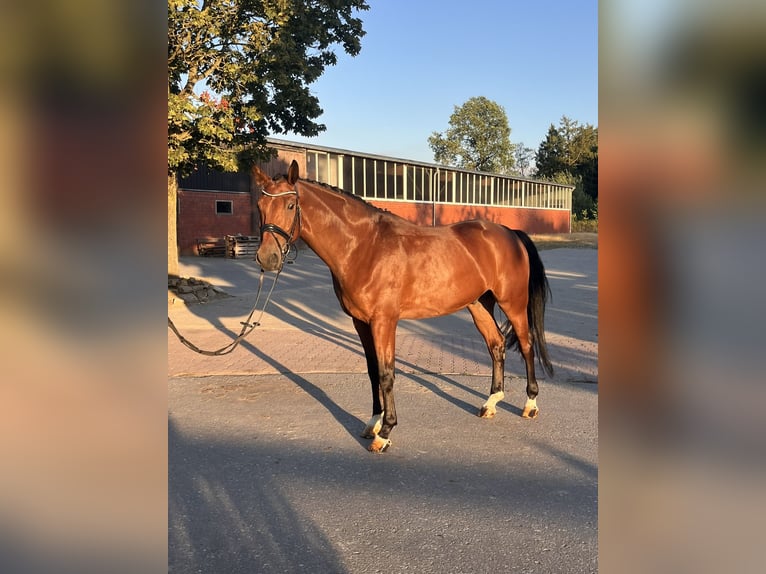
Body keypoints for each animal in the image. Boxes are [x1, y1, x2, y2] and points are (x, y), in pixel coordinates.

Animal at [253, 160, 553, 453]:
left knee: (526, 344)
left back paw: (530, 404)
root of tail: (509, 233)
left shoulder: (384, 321)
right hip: (478, 305)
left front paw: (385, 433)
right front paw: (373, 422)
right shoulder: (360, 322)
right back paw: (491, 402)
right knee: (496, 344)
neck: (364, 246)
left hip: (513, 304)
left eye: (290, 205)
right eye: (260, 206)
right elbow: (372, 370)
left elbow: (387, 373)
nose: (267, 258)